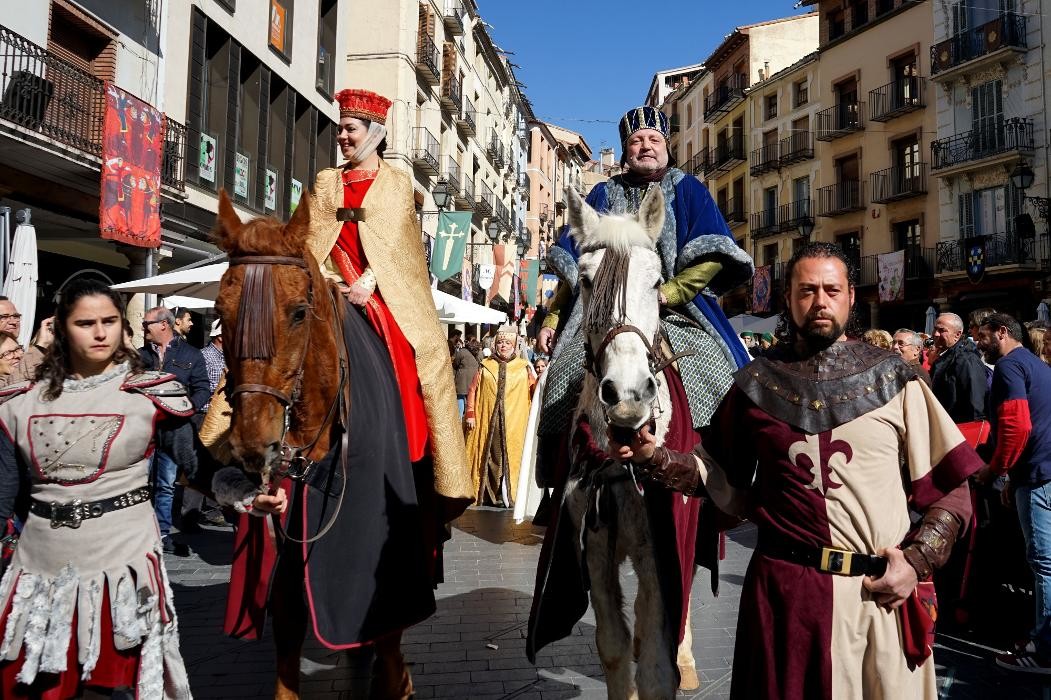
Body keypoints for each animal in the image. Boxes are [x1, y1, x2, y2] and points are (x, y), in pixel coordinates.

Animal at [563, 187, 702, 697]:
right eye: (586, 281)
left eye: (657, 280)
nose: (626, 395)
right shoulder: (595, 545)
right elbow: (614, 646)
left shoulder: (659, 548)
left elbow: (656, 660)